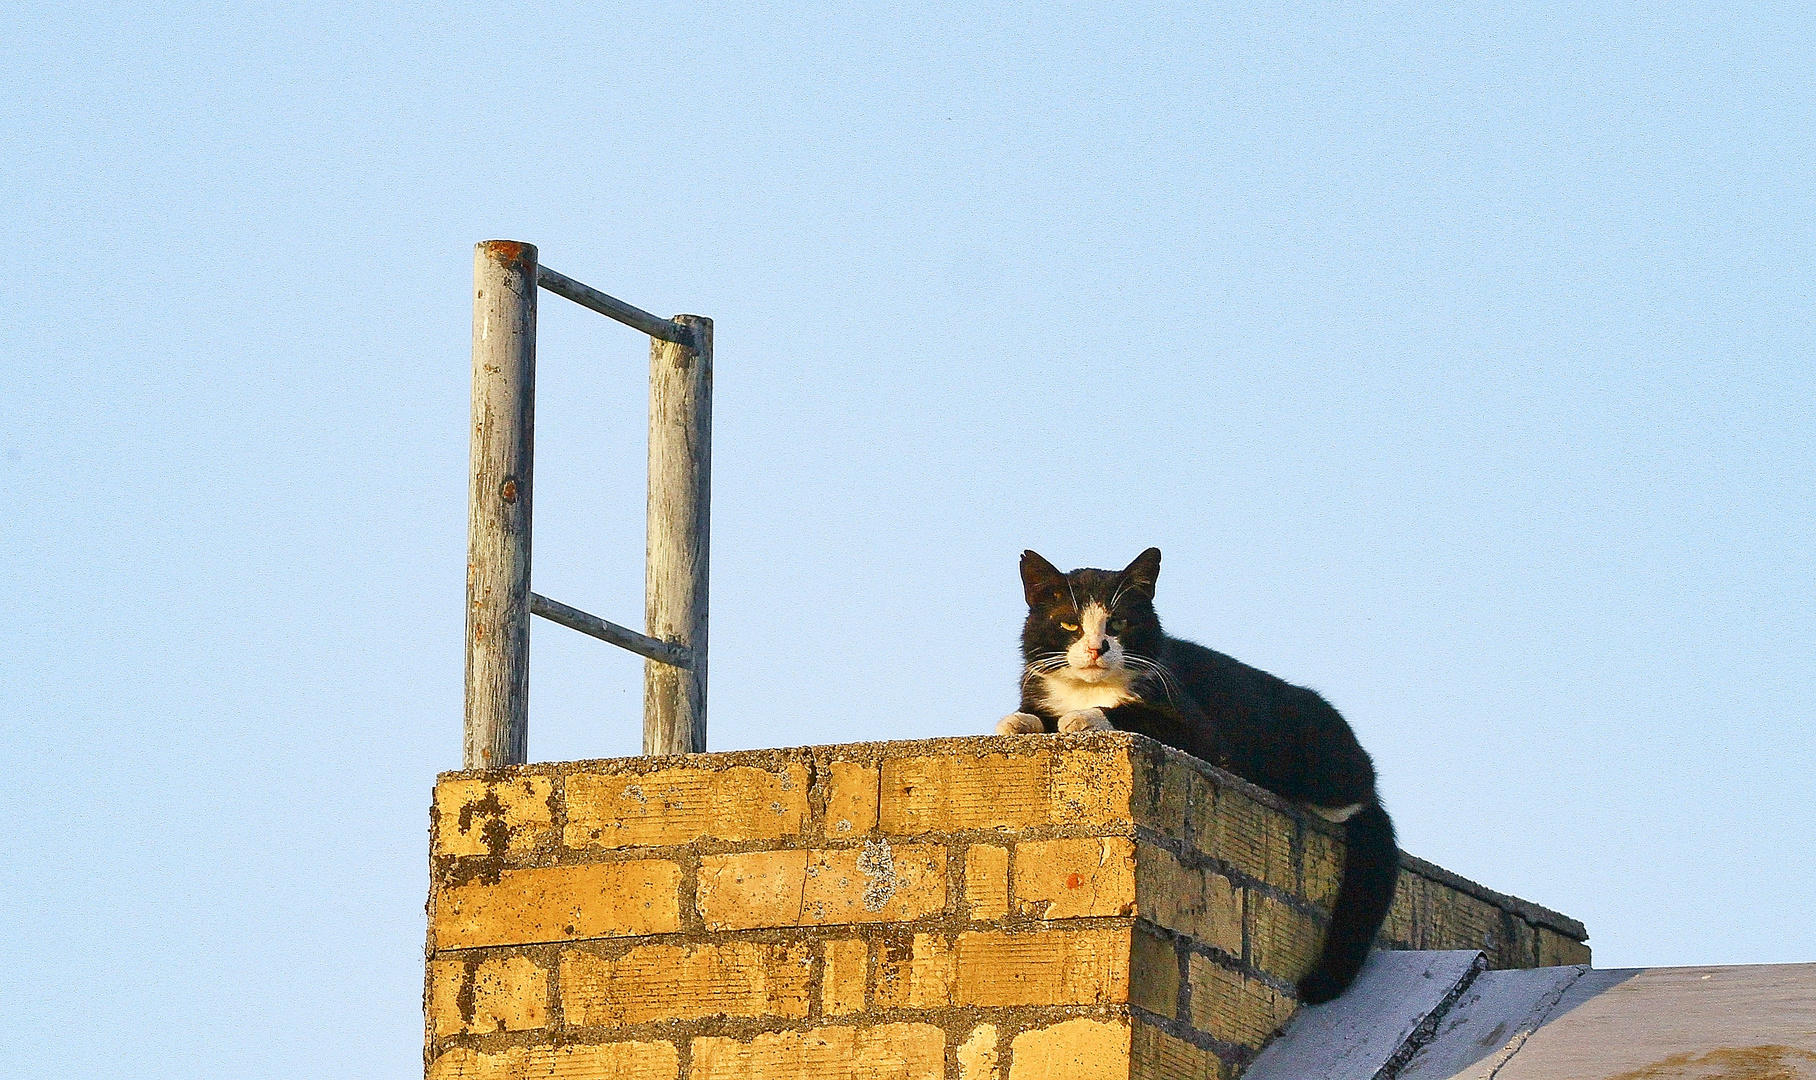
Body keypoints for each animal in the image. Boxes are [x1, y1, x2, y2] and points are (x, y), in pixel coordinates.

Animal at [1002, 548, 1394, 1009]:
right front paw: (1019, 721)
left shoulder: (1199, 730)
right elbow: (1034, 713)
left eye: (1119, 623)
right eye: (1069, 624)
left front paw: (1083, 717)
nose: (1098, 648)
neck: (1089, 688)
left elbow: (1132, 712)